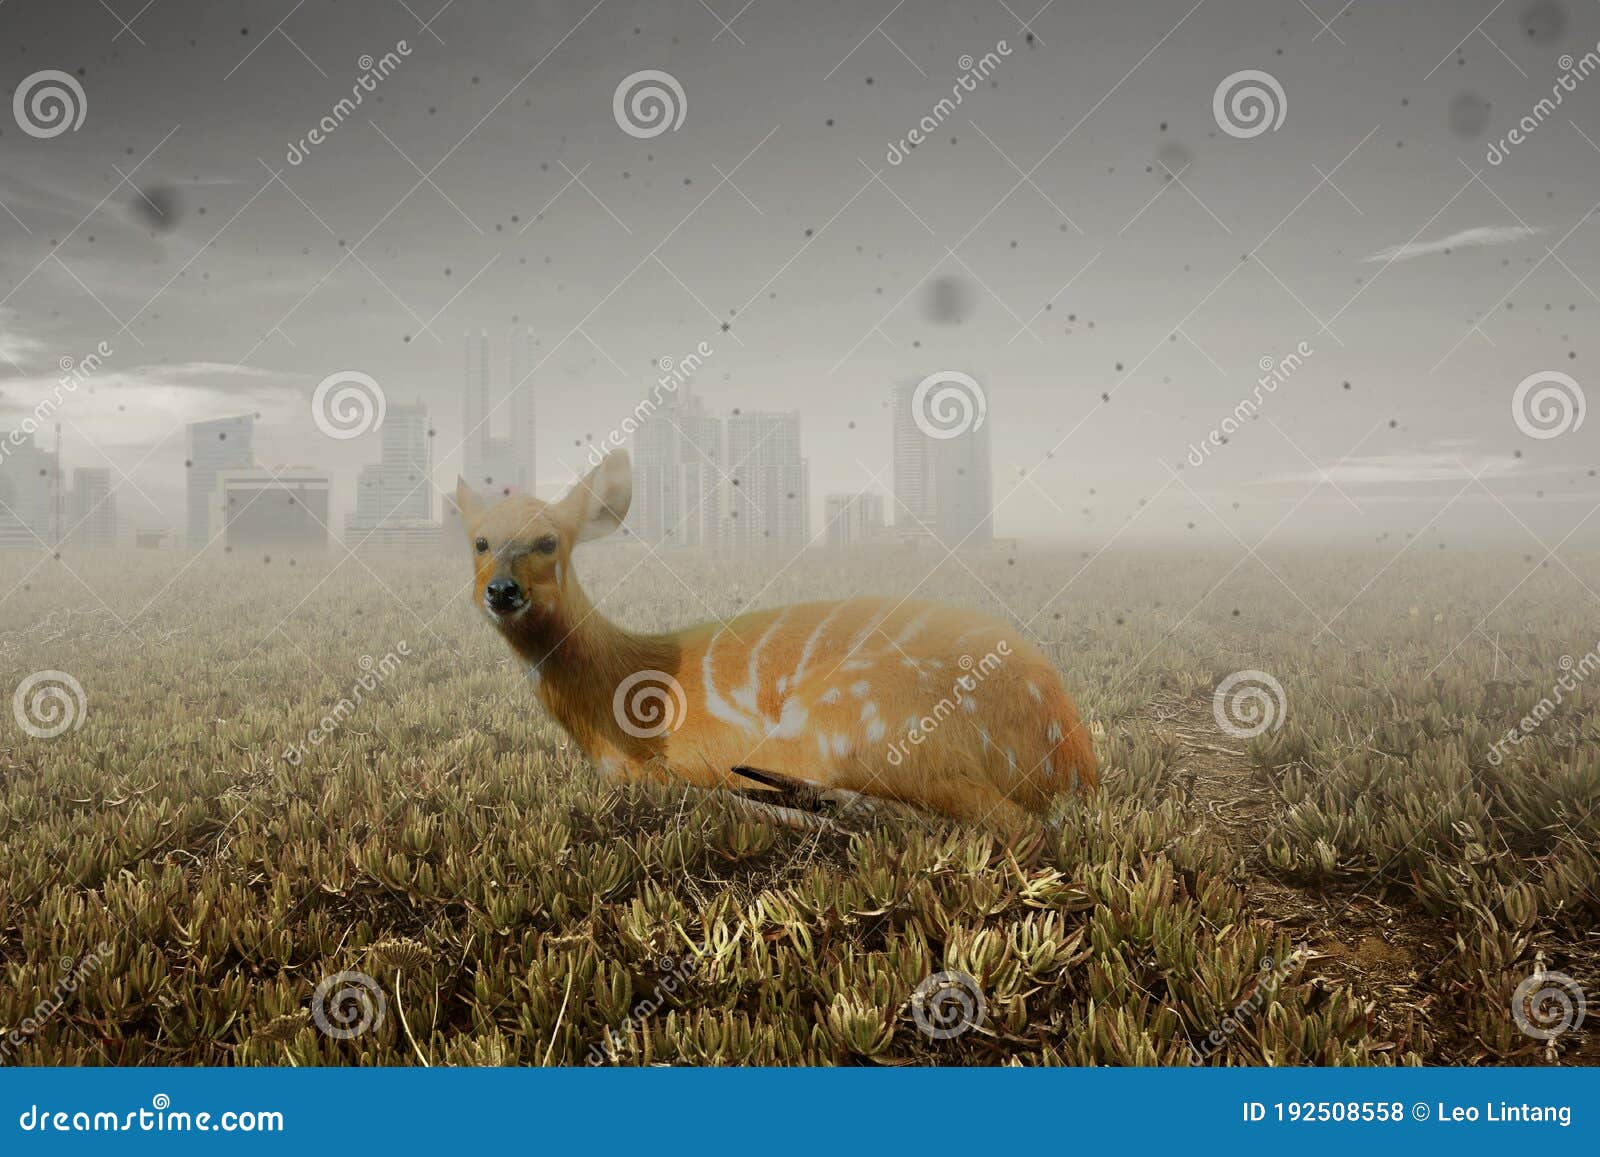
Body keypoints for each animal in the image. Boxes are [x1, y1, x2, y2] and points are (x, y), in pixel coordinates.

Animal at [455, 450, 1096, 833]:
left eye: (547, 541)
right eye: (479, 541)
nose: (502, 592)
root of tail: (1072, 758)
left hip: (854, 721)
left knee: (1014, 826)